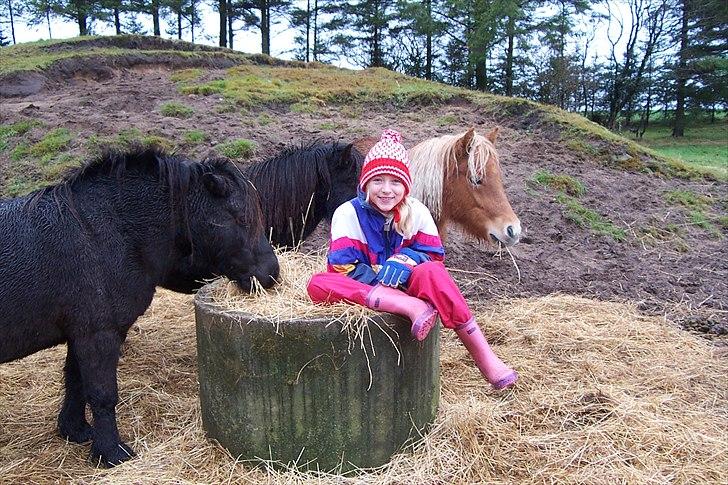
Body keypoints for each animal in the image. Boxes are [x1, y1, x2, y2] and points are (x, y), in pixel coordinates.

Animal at [0, 147, 278, 466]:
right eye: (241, 218)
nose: (272, 272)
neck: (102, 231)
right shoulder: (99, 334)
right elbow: (102, 393)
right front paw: (110, 452)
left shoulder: (80, 334)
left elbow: (76, 382)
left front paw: (75, 430)